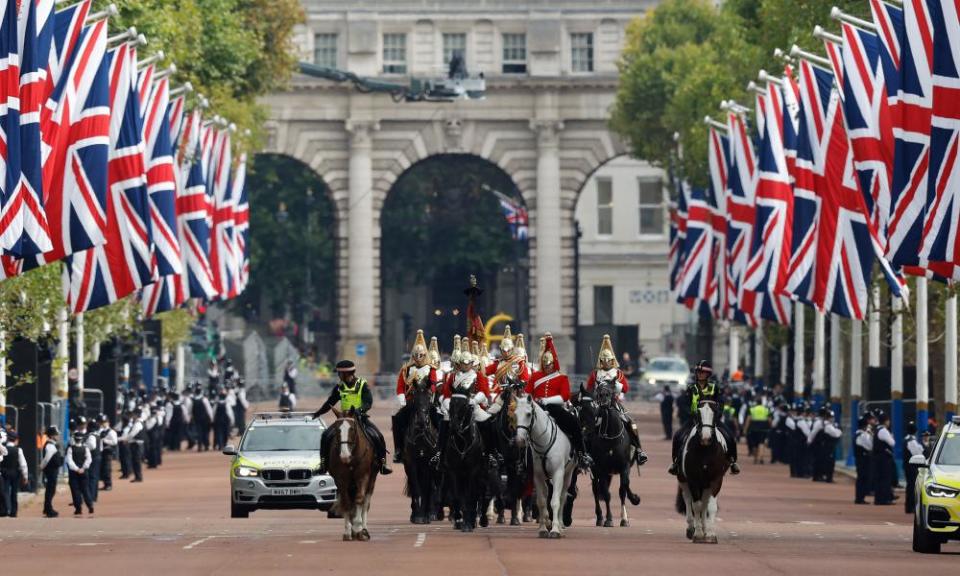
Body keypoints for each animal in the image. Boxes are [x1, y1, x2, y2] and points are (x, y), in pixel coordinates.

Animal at [326, 410, 378, 540]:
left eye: (352, 429)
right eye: (337, 429)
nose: (345, 456)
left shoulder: (363, 476)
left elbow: (360, 499)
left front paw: (359, 529)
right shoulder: (341, 479)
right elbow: (346, 502)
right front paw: (348, 531)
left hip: (372, 479)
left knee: (365, 502)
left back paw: (364, 529)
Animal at [512, 394, 572, 536]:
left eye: (528, 414)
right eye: (515, 414)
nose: (520, 441)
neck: (543, 442)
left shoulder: (558, 474)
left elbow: (555, 501)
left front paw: (555, 529)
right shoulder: (537, 476)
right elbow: (541, 501)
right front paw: (544, 528)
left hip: (568, 474)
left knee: (562, 497)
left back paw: (560, 524)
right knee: (545, 494)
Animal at [676, 400, 728, 544]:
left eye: (716, 413)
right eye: (697, 414)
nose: (706, 438)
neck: (705, 451)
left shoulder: (716, 480)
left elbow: (710, 506)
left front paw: (710, 534)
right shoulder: (693, 480)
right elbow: (696, 506)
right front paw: (698, 534)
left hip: (706, 484)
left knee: (705, 502)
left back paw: (705, 529)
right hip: (684, 480)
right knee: (688, 499)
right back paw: (691, 528)